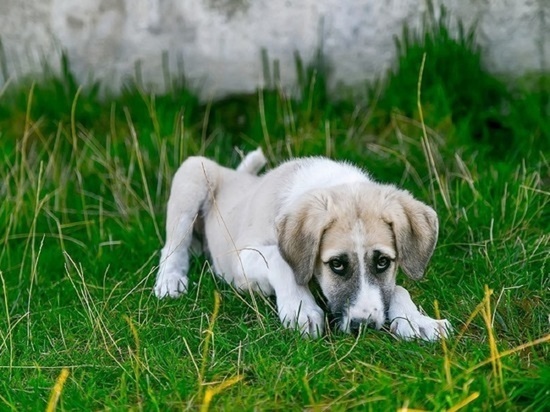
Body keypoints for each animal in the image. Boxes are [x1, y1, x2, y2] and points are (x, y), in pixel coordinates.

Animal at [154, 150, 452, 340]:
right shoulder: (242, 257)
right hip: (193, 173)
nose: (364, 326)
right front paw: (300, 308)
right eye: (337, 264)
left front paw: (417, 321)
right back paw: (170, 280)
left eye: (382, 262)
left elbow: (398, 288)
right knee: (172, 245)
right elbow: (280, 260)